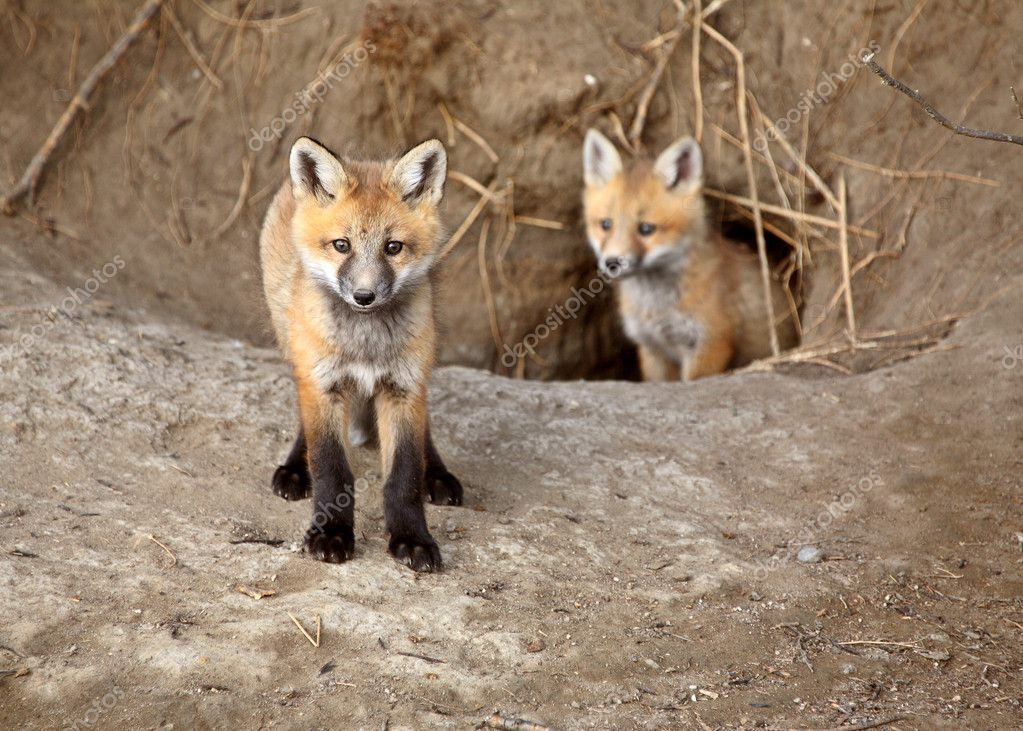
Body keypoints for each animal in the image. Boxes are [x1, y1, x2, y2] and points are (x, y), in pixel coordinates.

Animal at [259, 136, 464, 572]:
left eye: (393, 248)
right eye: (342, 245)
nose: (364, 296)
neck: (366, 346)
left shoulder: (403, 386)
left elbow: (405, 475)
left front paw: (412, 538)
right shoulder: (323, 383)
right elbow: (332, 469)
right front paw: (331, 534)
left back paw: (438, 473)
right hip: (295, 346)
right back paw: (295, 468)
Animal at [582, 129, 798, 381]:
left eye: (646, 229)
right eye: (606, 224)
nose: (612, 262)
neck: (658, 306)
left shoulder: (711, 343)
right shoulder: (652, 347)